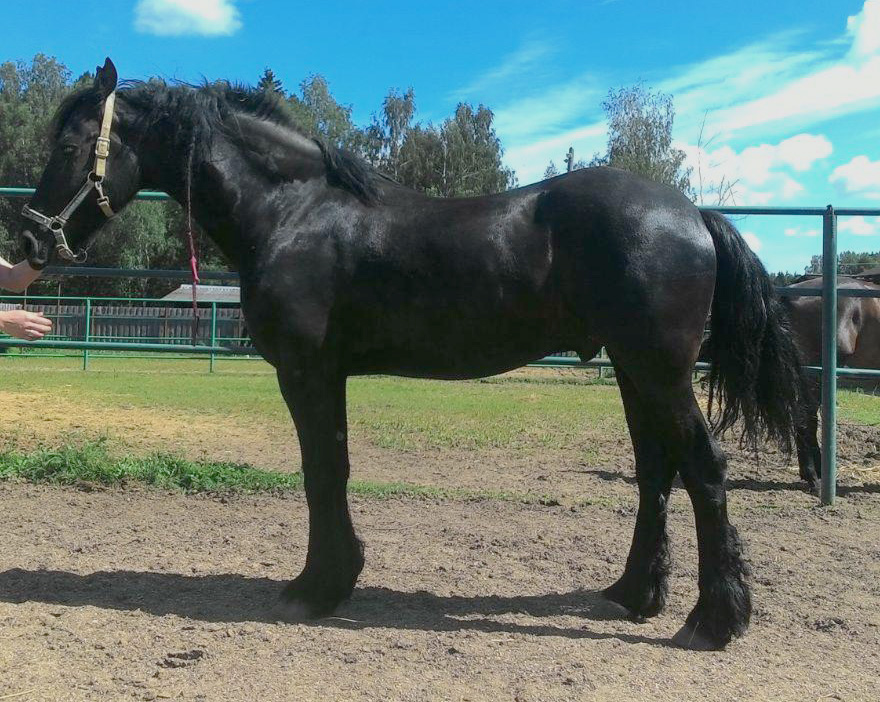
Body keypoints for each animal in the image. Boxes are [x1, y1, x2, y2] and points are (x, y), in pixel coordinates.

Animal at [18, 62, 804, 656]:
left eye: (74, 144)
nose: (28, 242)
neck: (294, 211)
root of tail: (691, 213)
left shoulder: (308, 373)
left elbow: (323, 473)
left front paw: (318, 588)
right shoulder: (323, 375)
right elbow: (329, 473)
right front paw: (330, 580)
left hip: (659, 371)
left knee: (704, 469)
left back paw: (713, 620)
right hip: (635, 373)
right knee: (655, 473)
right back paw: (633, 594)